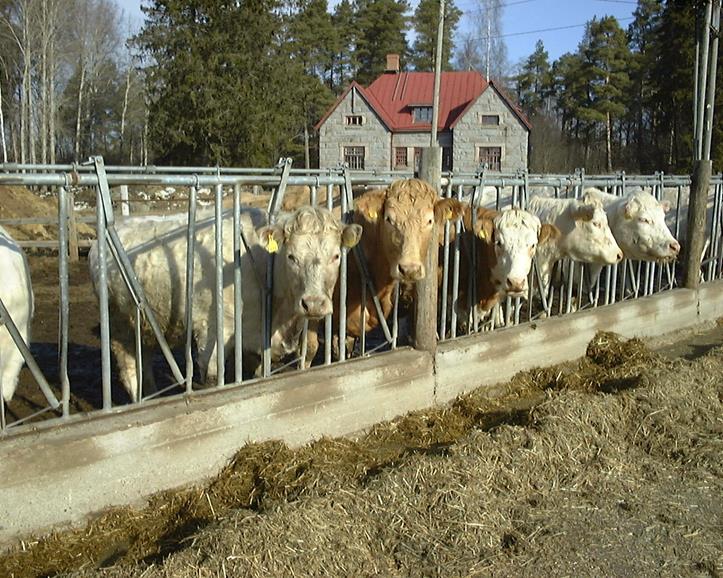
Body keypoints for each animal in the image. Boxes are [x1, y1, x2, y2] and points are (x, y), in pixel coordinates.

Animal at [90, 205, 362, 398]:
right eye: (292, 257)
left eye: (336, 256)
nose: (313, 304)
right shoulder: (212, 333)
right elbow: (214, 378)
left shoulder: (256, 340)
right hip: (119, 325)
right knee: (130, 373)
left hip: (145, 322)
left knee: (143, 364)